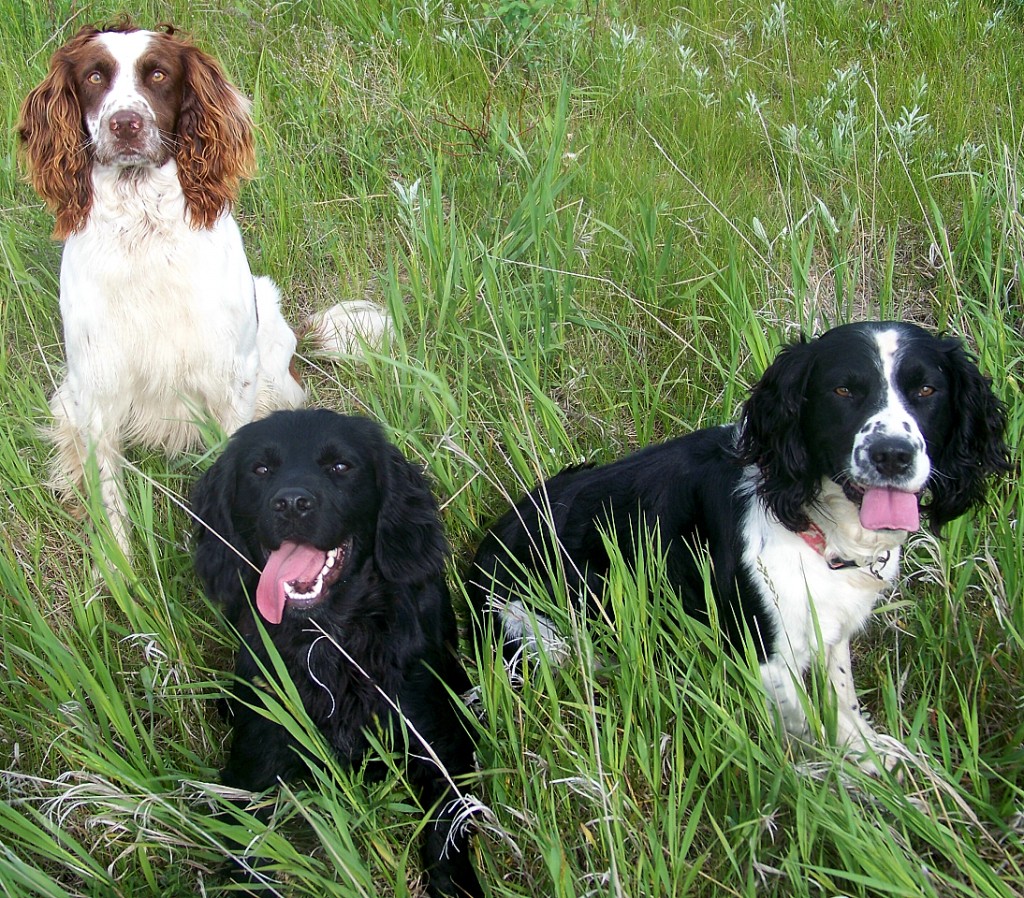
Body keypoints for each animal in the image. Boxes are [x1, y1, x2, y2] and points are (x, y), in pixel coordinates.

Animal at [193, 409, 481, 892]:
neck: (330, 641)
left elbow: (446, 839)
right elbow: (245, 856)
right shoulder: (254, 763)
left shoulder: (440, 746)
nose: (292, 503)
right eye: (260, 469)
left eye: (341, 466)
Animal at [468, 321, 1007, 761]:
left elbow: (842, 696)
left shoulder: (832, 627)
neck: (817, 526)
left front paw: (869, 753)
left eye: (926, 389)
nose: (892, 454)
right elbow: (807, 730)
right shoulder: (767, 655)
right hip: (542, 632)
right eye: (843, 390)